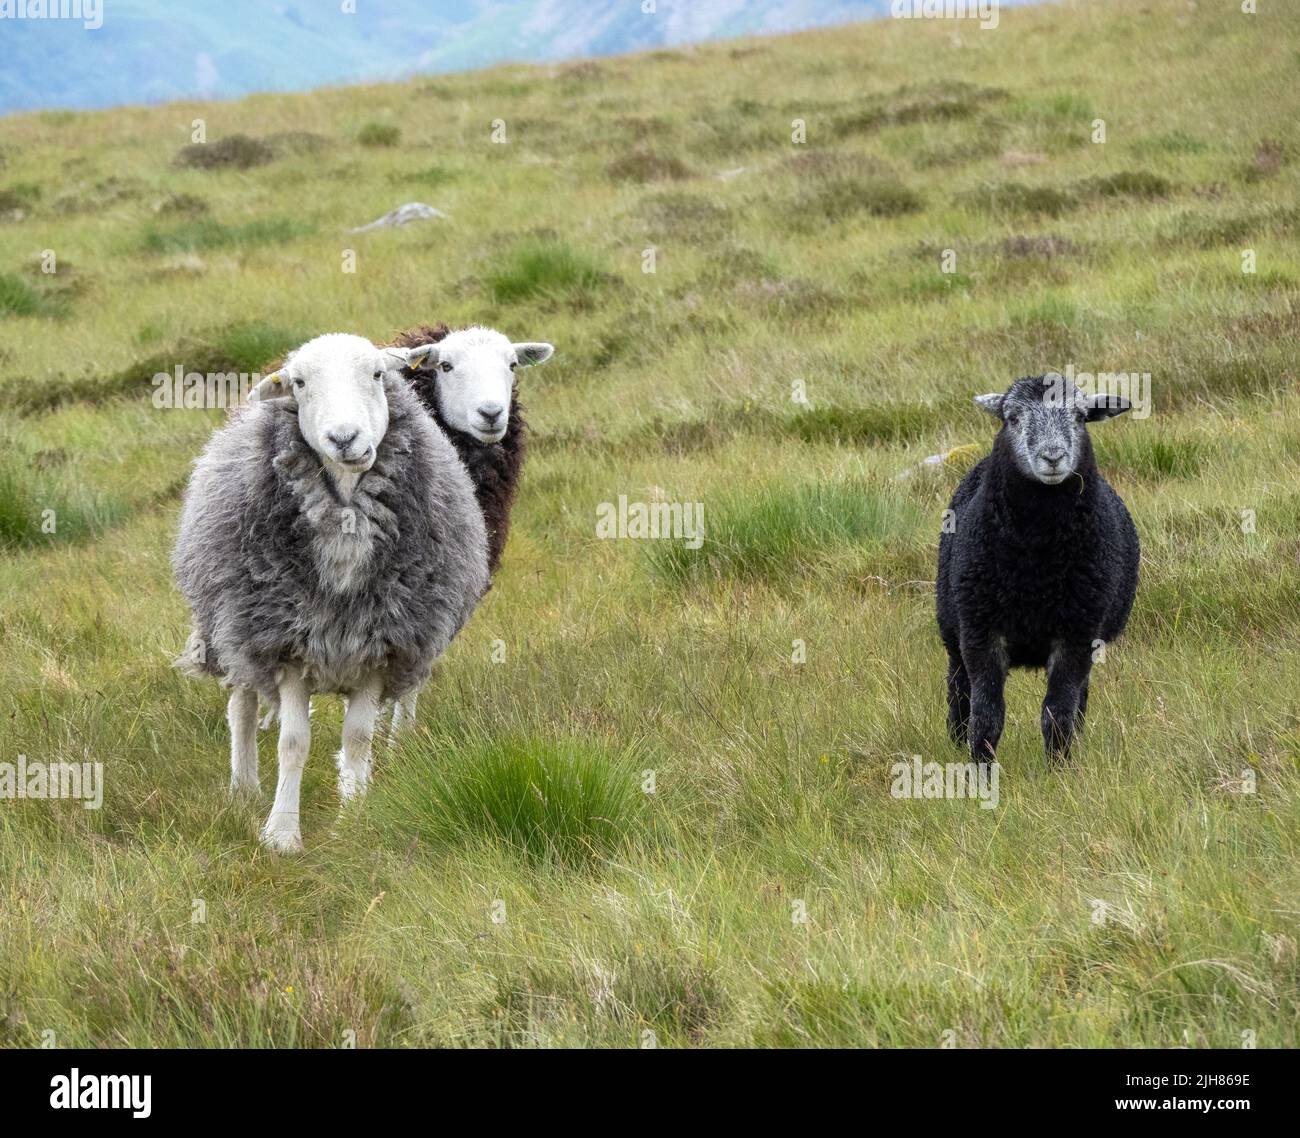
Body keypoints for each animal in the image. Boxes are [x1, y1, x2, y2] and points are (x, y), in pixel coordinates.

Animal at [935, 377, 1138, 764]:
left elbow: (1057, 711)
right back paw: (954, 738)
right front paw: (980, 767)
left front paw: (1059, 766)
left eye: (1080, 416)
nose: (1053, 456)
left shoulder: (1077, 633)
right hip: (952, 627)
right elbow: (987, 712)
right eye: (1012, 417)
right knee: (958, 686)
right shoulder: (981, 631)